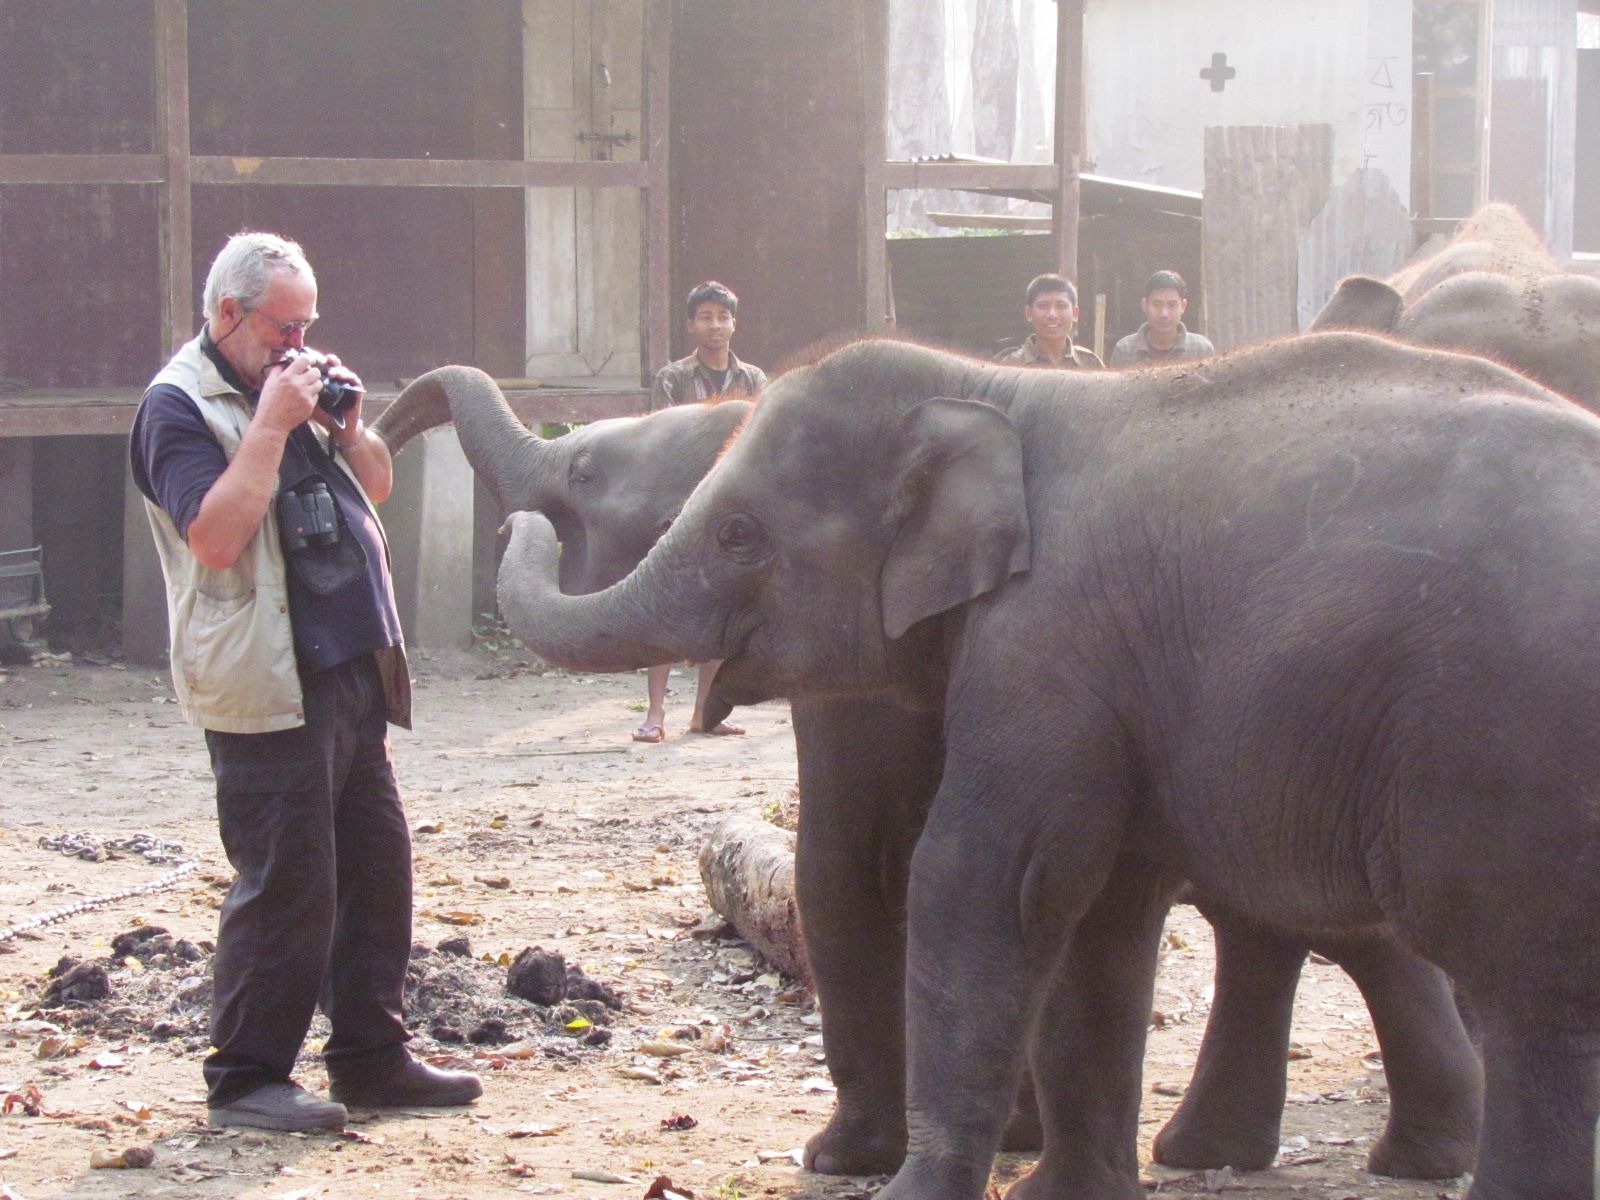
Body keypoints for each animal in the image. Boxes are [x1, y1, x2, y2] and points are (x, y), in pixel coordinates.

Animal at [496, 334, 1600, 1200]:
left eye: (737, 534)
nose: (524, 514)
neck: (995, 388)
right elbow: (1097, 910)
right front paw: (1059, 1194)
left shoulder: (1047, 639)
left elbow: (986, 879)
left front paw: (907, 1194)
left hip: (1508, 751)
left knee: (1525, 991)